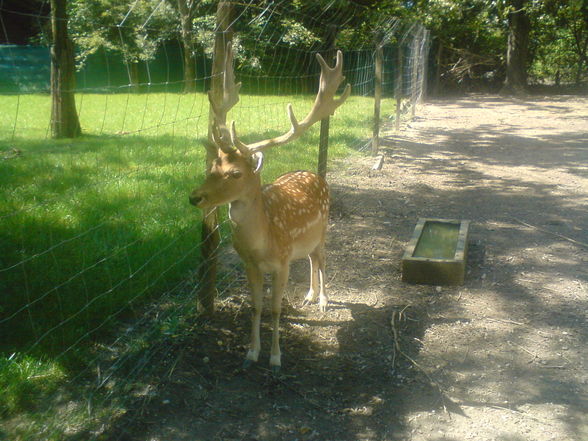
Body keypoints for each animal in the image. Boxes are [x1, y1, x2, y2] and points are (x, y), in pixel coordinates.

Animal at [191, 43, 352, 372]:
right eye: (212, 166)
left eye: (235, 173)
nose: (195, 197)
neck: (260, 244)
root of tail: (314, 173)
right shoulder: (250, 265)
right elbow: (256, 307)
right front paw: (252, 352)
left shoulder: (282, 263)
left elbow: (276, 310)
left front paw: (276, 357)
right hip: (304, 242)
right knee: (311, 258)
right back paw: (309, 295)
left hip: (323, 228)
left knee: (322, 257)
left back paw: (323, 300)